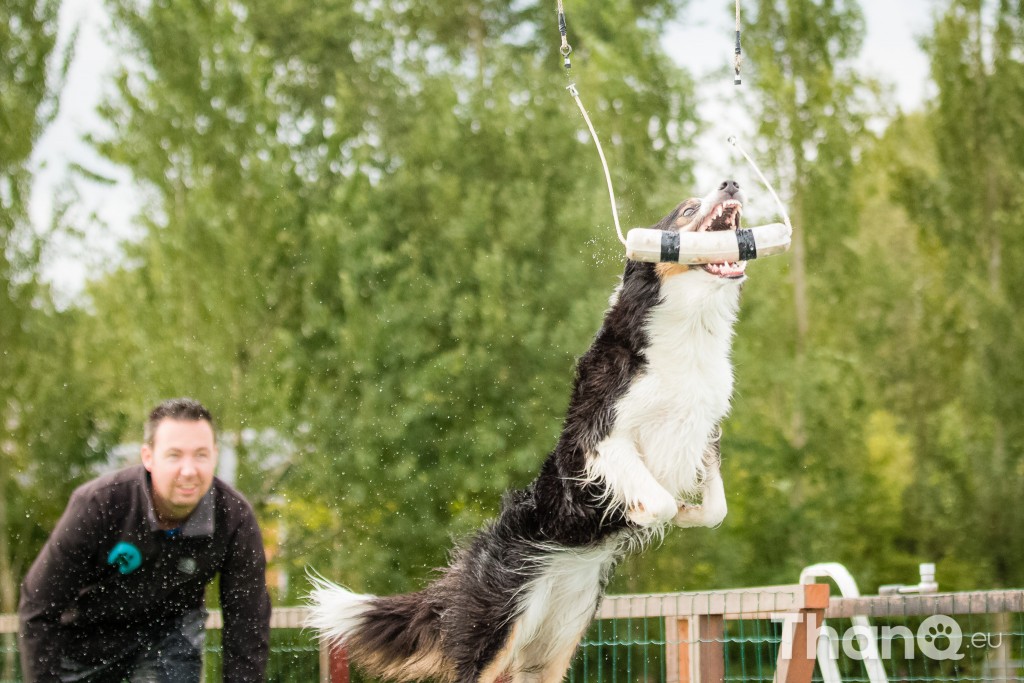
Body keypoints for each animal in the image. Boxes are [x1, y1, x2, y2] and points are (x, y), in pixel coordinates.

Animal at [307, 180, 749, 683]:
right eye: (688, 210)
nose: (731, 183)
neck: (691, 326)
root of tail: (467, 565)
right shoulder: (597, 438)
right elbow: (657, 499)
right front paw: (641, 512)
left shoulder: (705, 428)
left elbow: (714, 508)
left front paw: (685, 513)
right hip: (498, 626)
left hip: (555, 644)